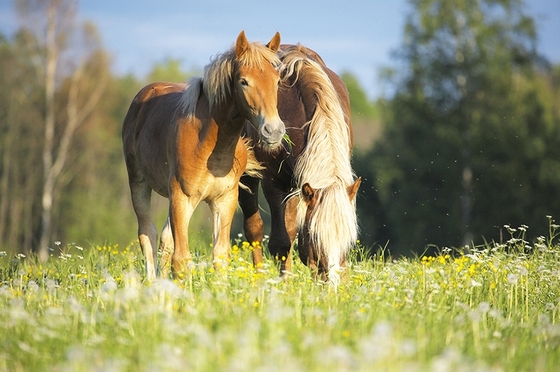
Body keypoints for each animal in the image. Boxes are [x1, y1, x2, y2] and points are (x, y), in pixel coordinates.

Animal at [120, 32, 282, 280]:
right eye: (244, 81)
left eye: (277, 80)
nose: (273, 130)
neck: (210, 146)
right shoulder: (182, 197)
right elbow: (181, 260)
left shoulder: (224, 200)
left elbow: (220, 256)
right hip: (139, 182)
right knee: (148, 234)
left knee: (165, 239)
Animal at [238, 42, 360, 284]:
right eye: (316, 236)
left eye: (348, 240)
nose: (333, 284)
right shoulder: (274, 182)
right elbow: (281, 242)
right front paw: (285, 283)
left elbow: (297, 239)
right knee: (254, 229)